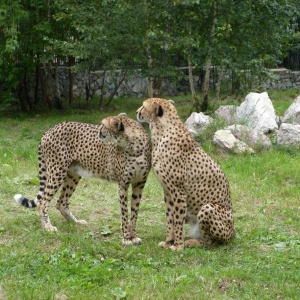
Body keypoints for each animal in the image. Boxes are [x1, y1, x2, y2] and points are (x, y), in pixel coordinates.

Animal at [13, 113, 152, 245]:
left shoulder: (139, 184)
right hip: (58, 172)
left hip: (73, 174)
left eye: (103, 125)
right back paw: (47, 226)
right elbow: (124, 213)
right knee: (43, 202)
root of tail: (51, 129)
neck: (133, 146)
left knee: (61, 202)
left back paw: (75, 222)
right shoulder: (123, 184)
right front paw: (126, 238)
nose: (98, 132)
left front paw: (133, 237)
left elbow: (134, 212)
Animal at [137, 98, 236, 251]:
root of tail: (233, 233)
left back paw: (193, 242)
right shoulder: (167, 191)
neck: (161, 131)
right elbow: (170, 217)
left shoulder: (178, 191)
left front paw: (178, 245)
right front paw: (168, 241)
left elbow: (177, 219)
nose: (137, 112)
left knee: (212, 243)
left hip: (207, 208)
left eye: (143, 106)